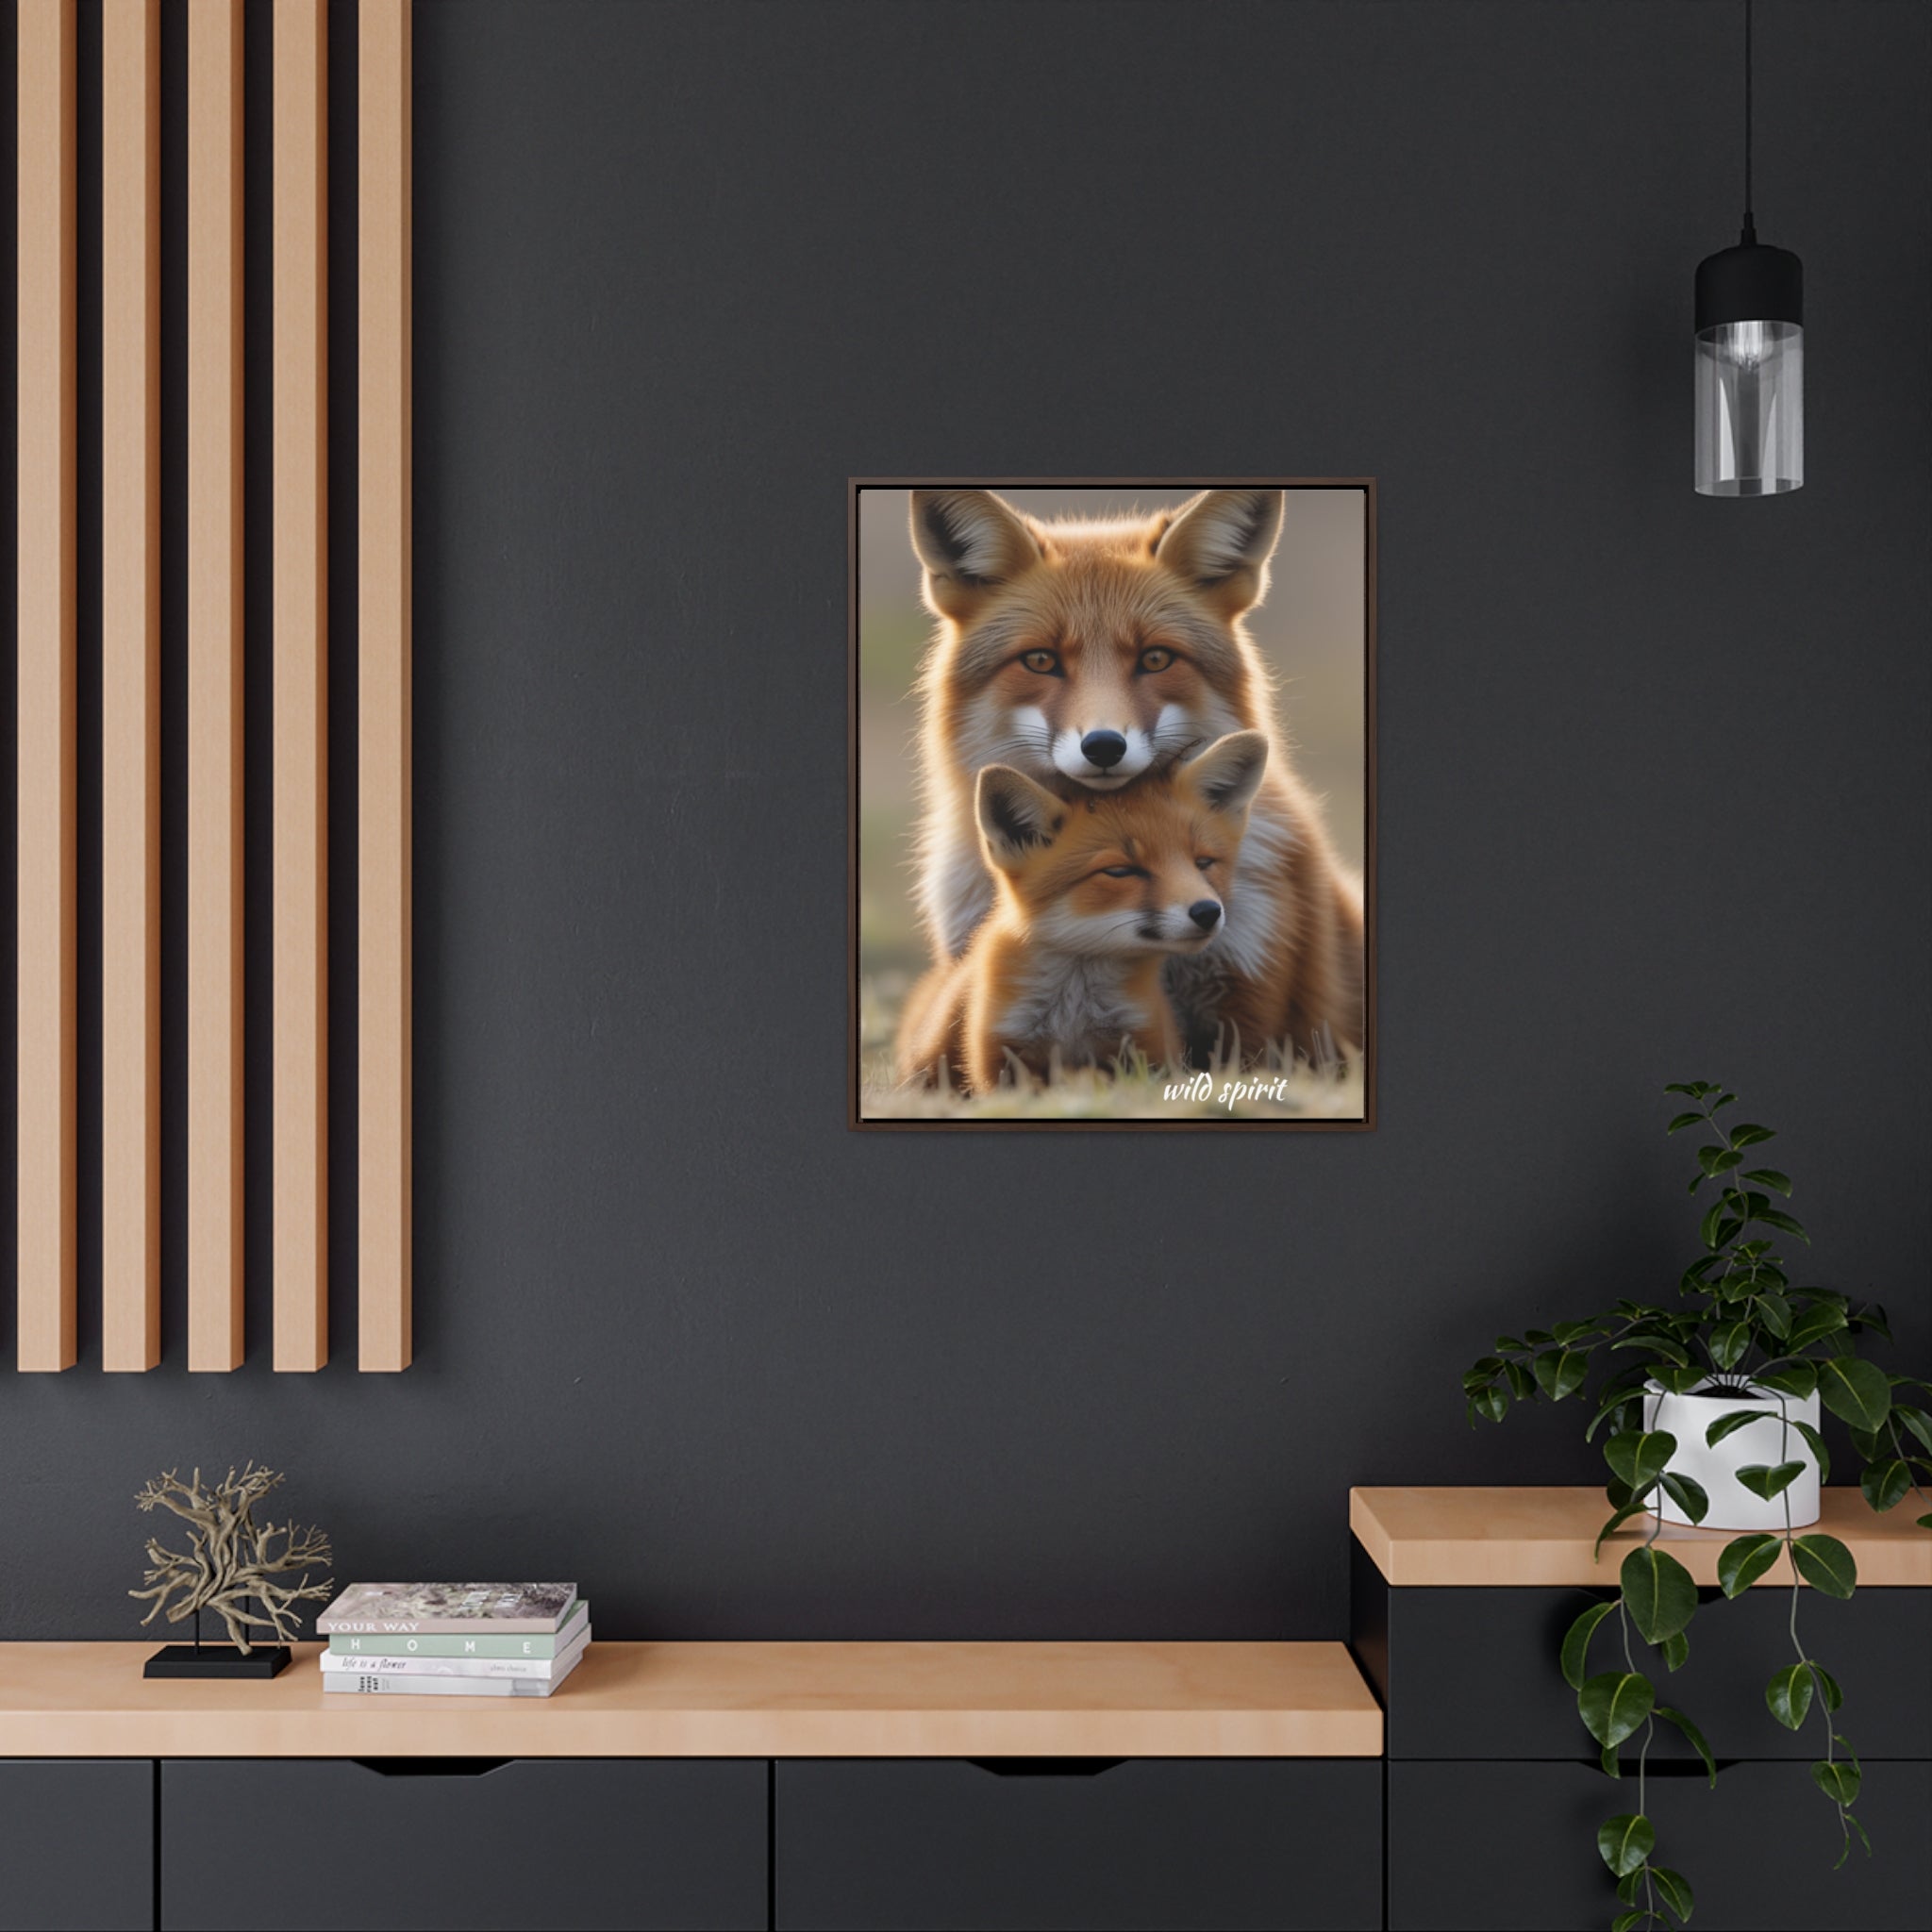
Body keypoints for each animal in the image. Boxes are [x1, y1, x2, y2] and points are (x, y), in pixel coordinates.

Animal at [896, 732, 1270, 1094]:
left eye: (1203, 863)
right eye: (1120, 871)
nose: (1208, 911)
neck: (1074, 1012)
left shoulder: (1145, 1046)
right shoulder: (1001, 1055)